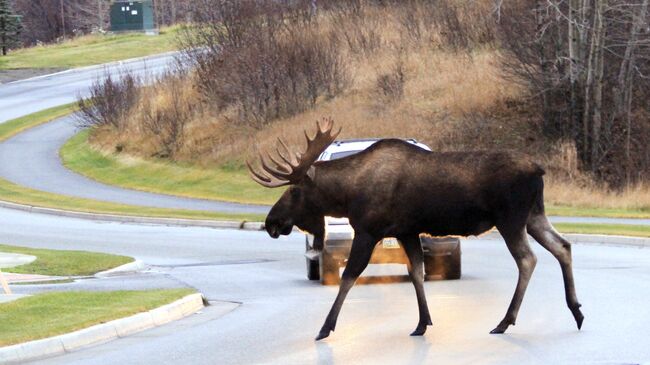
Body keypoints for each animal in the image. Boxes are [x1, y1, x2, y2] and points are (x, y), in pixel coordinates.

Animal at [247, 118, 584, 340]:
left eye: (294, 191)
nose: (271, 222)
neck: (347, 195)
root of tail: (539, 170)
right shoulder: (406, 230)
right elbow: (417, 273)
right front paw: (423, 323)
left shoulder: (369, 230)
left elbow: (349, 277)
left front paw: (324, 328)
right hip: (534, 215)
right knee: (562, 245)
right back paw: (577, 311)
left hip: (510, 219)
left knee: (528, 259)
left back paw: (505, 321)